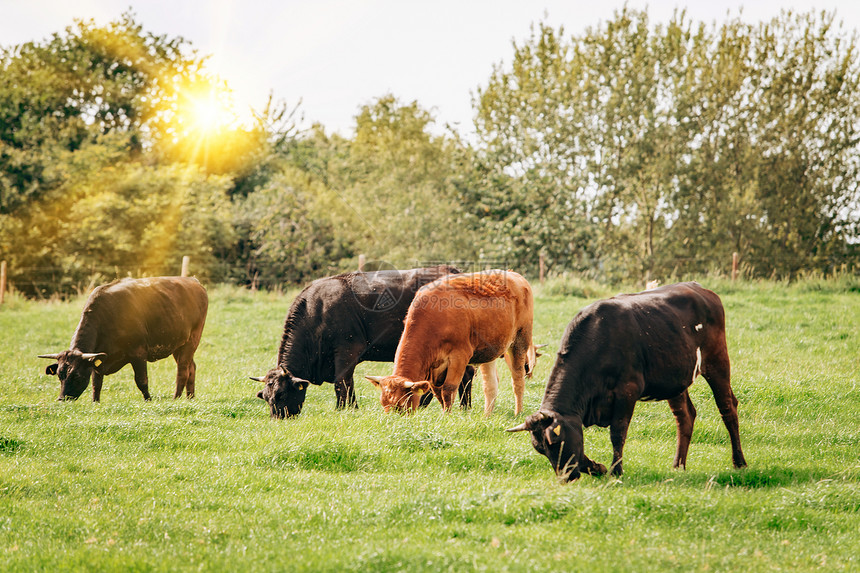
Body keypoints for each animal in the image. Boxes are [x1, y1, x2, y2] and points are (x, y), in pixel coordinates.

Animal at [39, 274, 209, 400]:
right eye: (60, 375)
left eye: (77, 376)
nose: (62, 399)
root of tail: (193, 281)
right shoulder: (97, 359)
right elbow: (96, 384)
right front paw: (95, 402)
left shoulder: (138, 353)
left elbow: (141, 381)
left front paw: (148, 400)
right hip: (178, 345)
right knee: (191, 367)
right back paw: (190, 397)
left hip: (192, 340)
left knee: (182, 371)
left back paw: (176, 398)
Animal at [254, 266, 478, 418]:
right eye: (265, 396)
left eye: (281, 394)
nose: (278, 419)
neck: (316, 310)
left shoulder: (347, 351)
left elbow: (343, 383)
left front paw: (345, 409)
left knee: (463, 375)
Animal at [364, 270, 536, 414]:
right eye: (383, 404)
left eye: (399, 405)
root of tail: (515, 275)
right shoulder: (435, 369)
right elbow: (438, 392)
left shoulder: (459, 356)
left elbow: (448, 389)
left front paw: (447, 416)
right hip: (489, 350)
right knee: (491, 384)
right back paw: (487, 416)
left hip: (520, 341)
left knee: (518, 378)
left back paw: (518, 412)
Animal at [508, 280, 744, 478]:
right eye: (541, 449)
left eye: (557, 442)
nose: (566, 477)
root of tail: (700, 288)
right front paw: (597, 467)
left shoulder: (627, 392)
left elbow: (618, 433)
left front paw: (616, 471)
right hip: (674, 379)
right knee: (685, 416)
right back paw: (678, 465)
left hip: (717, 361)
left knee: (727, 408)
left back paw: (739, 462)